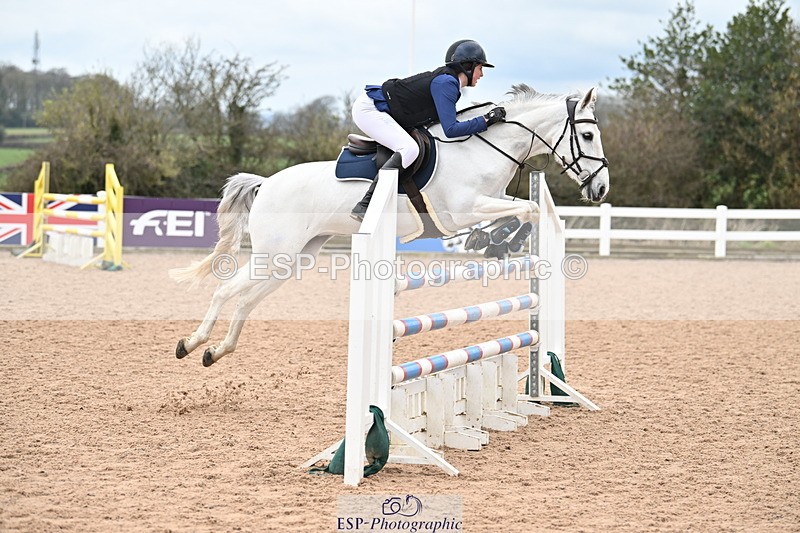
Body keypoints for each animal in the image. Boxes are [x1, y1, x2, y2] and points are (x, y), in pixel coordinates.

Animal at [171, 84, 610, 367]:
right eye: (587, 134)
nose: (601, 187)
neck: (483, 148)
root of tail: (266, 184)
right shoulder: (461, 210)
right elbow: (527, 210)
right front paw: (498, 240)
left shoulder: (486, 202)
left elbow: (525, 209)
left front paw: (498, 241)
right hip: (275, 252)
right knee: (226, 290)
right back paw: (192, 343)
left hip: (293, 259)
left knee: (246, 300)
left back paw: (216, 351)